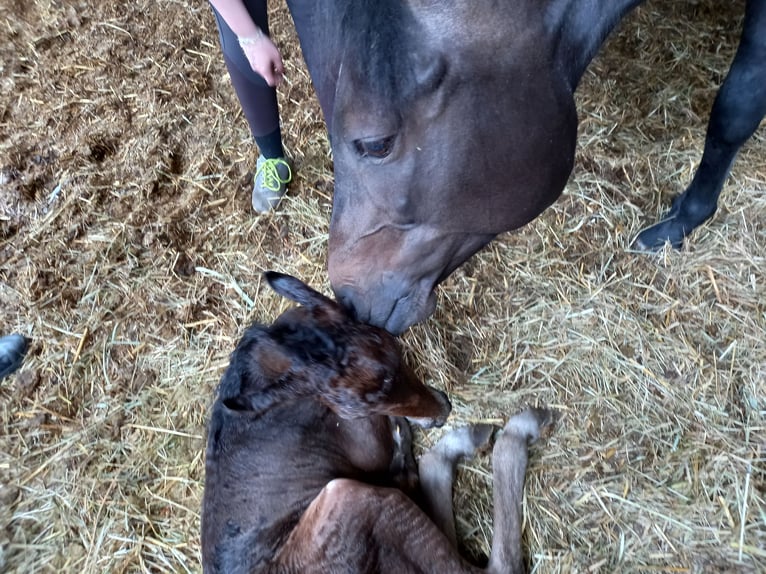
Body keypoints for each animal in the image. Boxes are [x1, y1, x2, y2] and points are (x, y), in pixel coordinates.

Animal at [201, 272, 556, 572]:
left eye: (394, 348)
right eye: (353, 411)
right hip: (348, 498)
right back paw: (517, 429)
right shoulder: (367, 445)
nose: (442, 410)